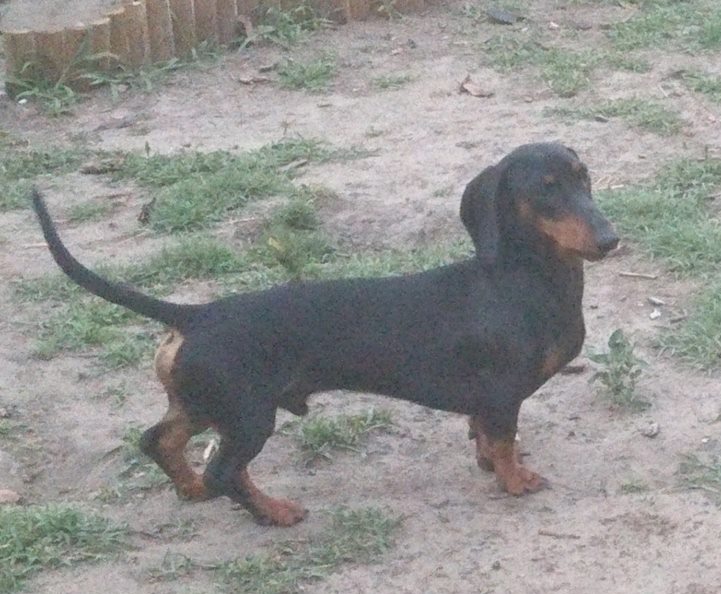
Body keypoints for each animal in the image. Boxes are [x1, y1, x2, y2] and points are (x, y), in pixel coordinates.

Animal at [31, 142, 618, 526]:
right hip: (248, 416)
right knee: (226, 472)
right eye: (545, 191)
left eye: (583, 177)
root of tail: (196, 315)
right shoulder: (501, 395)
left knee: (159, 441)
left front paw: (490, 464)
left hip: (205, 404)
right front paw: (515, 481)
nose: (611, 238)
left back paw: (191, 487)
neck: (522, 279)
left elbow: (486, 438)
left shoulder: (487, 403)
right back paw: (273, 512)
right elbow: (503, 442)